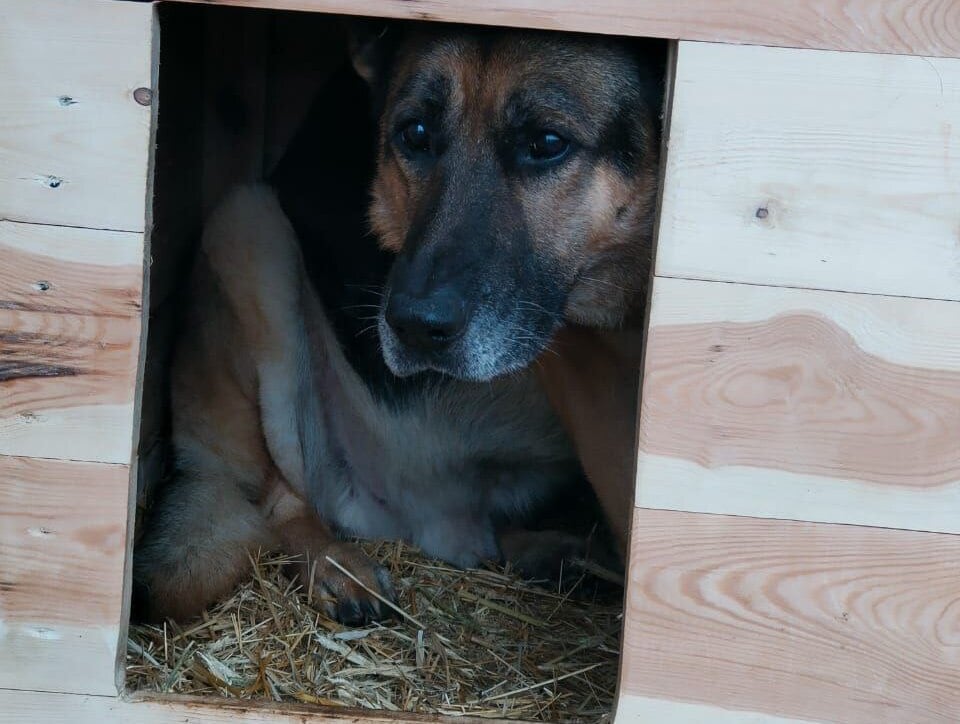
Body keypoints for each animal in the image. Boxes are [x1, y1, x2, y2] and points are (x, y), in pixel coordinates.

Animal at [133, 19, 660, 624]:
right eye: (415, 133)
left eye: (547, 144)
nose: (414, 327)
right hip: (246, 224)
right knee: (277, 500)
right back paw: (336, 566)